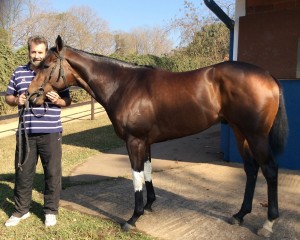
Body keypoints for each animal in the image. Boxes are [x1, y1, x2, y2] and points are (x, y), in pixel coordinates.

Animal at [28, 34, 288, 237]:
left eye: (46, 65)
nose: (31, 95)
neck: (124, 85)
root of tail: (268, 76)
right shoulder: (146, 141)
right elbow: (148, 171)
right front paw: (150, 205)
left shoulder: (134, 141)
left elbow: (136, 176)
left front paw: (133, 218)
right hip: (239, 131)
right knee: (251, 169)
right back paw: (240, 215)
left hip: (256, 135)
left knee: (270, 169)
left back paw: (268, 223)